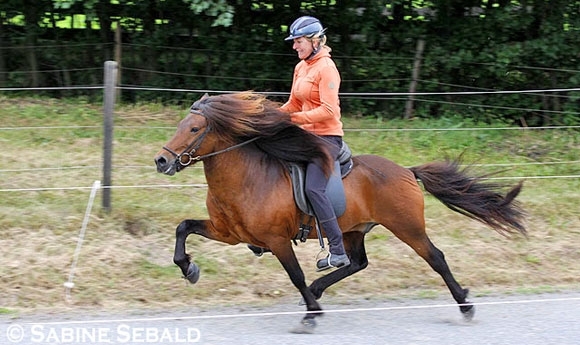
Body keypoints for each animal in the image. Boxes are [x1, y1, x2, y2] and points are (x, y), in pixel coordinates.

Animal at [153, 90, 524, 330]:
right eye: (180, 125)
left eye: (195, 128)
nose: (161, 161)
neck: (247, 178)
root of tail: (406, 171)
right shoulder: (228, 232)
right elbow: (183, 227)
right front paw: (188, 268)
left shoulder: (276, 240)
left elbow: (295, 275)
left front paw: (312, 314)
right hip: (353, 230)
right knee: (357, 263)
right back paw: (321, 287)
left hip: (407, 227)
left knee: (436, 258)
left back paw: (465, 305)